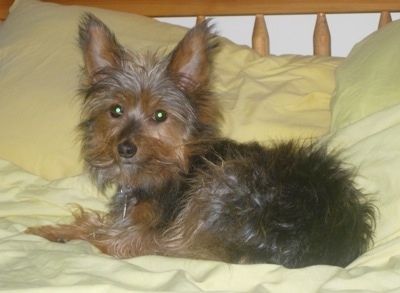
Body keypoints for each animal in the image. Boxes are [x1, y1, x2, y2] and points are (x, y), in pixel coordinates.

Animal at [25, 14, 376, 268]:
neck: (170, 163)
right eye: (116, 110)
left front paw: (53, 231)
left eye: (160, 115)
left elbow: (109, 233)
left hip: (221, 182)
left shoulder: (153, 229)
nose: (125, 147)